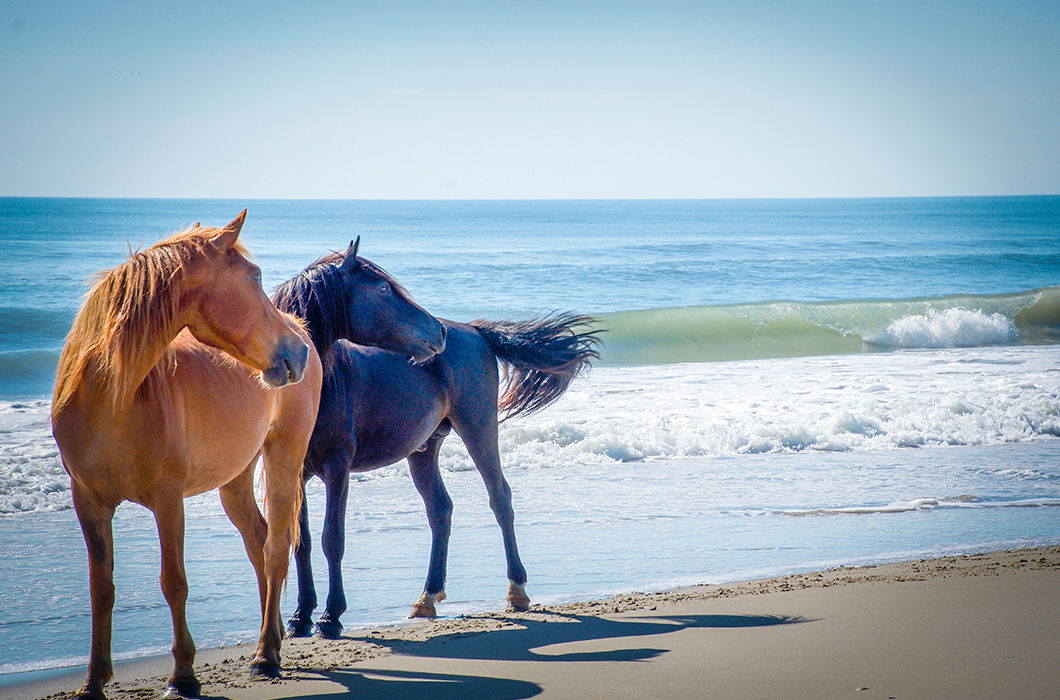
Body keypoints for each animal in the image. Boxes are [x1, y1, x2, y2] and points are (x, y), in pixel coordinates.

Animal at [50, 214, 443, 699]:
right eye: (253, 277)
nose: (296, 351)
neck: (112, 397)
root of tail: (303, 329)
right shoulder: (88, 502)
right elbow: (100, 588)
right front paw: (93, 681)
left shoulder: (168, 500)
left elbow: (174, 582)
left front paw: (184, 675)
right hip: (235, 479)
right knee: (259, 543)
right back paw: (271, 637)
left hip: (285, 459)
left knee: (276, 548)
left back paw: (266, 656)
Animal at [269, 240, 602, 640]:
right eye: (383, 289)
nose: (438, 332)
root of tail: (473, 331)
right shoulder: (294, 469)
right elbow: (300, 542)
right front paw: (300, 617)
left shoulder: (338, 465)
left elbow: (332, 539)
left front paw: (331, 617)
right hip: (424, 450)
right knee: (440, 510)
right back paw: (427, 597)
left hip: (478, 427)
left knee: (500, 498)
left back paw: (517, 591)